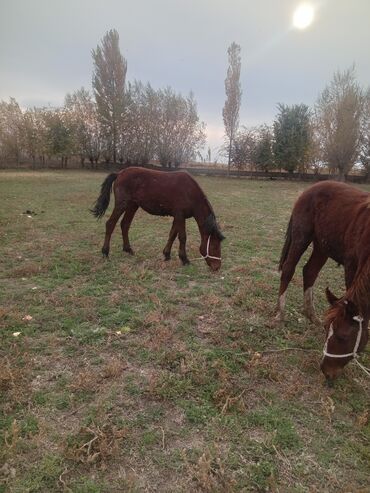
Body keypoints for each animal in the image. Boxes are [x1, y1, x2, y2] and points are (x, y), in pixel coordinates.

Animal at [91, 167, 224, 270]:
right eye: (214, 246)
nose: (217, 267)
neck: (190, 192)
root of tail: (119, 173)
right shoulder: (180, 216)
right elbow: (182, 237)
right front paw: (184, 259)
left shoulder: (177, 217)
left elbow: (172, 235)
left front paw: (167, 254)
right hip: (121, 205)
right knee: (110, 224)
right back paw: (105, 252)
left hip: (132, 206)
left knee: (125, 224)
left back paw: (128, 249)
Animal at [276, 181, 368, 380]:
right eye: (329, 332)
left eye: (342, 337)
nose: (326, 370)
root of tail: (312, 187)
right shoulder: (352, 265)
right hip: (302, 236)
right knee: (288, 269)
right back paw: (280, 313)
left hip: (322, 245)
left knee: (309, 272)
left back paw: (311, 314)